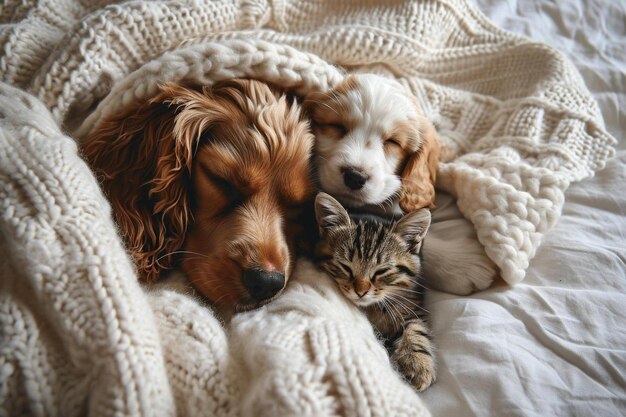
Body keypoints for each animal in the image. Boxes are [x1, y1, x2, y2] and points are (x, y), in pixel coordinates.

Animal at [312, 192, 434, 390]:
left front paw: (416, 362)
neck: (373, 307)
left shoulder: (413, 302)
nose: (360, 291)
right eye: (345, 267)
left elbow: (417, 327)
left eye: (382, 271)